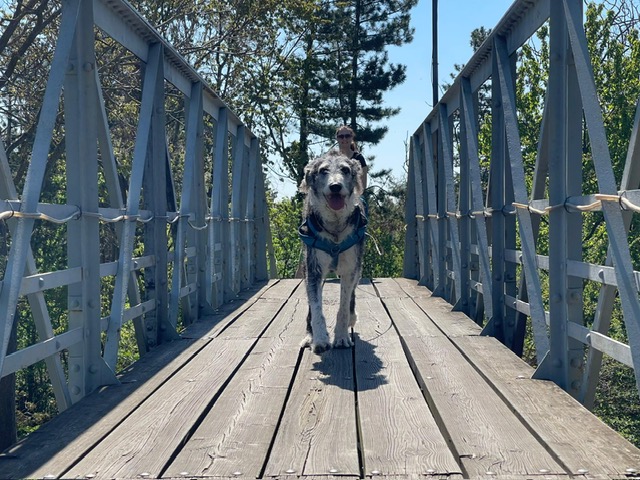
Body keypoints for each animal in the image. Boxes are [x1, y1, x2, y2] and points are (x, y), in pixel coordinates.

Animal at [298, 150, 367, 353]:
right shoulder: (312, 269)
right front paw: (320, 339)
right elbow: (315, 307)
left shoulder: (350, 269)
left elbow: (343, 306)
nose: (335, 186)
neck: (335, 227)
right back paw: (309, 336)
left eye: (345, 170)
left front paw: (342, 337)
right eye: (323, 170)